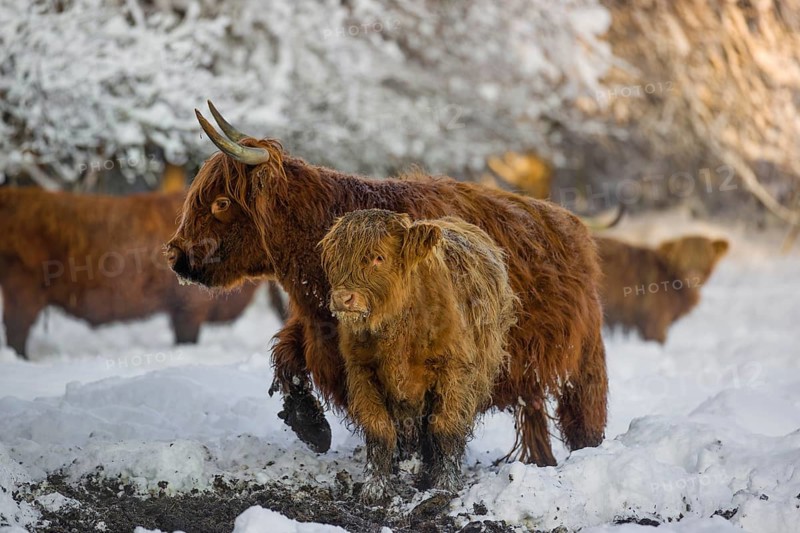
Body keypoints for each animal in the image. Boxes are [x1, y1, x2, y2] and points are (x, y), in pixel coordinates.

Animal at [166, 102, 608, 466]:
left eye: (221, 202)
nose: (175, 254)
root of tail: (569, 220)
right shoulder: (318, 328)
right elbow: (287, 358)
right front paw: (312, 428)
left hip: (582, 356)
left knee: (583, 412)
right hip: (527, 369)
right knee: (533, 413)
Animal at [320, 210, 516, 501]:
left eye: (379, 257)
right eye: (335, 259)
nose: (344, 298)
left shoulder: (454, 371)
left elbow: (445, 428)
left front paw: (445, 484)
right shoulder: (362, 371)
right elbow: (379, 429)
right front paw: (375, 487)